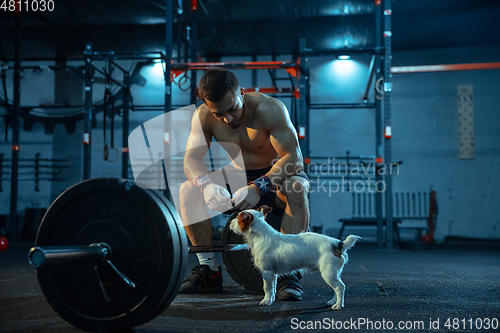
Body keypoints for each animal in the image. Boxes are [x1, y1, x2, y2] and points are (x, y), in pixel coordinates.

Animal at [230, 204, 360, 310]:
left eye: (238, 219)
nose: (230, 222)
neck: (261, 236)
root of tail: (338, 244)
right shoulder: (273, 274)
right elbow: (272, 288)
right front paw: (271, 299)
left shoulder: (266, 272)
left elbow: (266, 288)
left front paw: (265, 301)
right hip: (334, 273)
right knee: (337, 287)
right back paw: (333, 302)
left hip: (328, 273)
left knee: (340, 287)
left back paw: (338, 305)